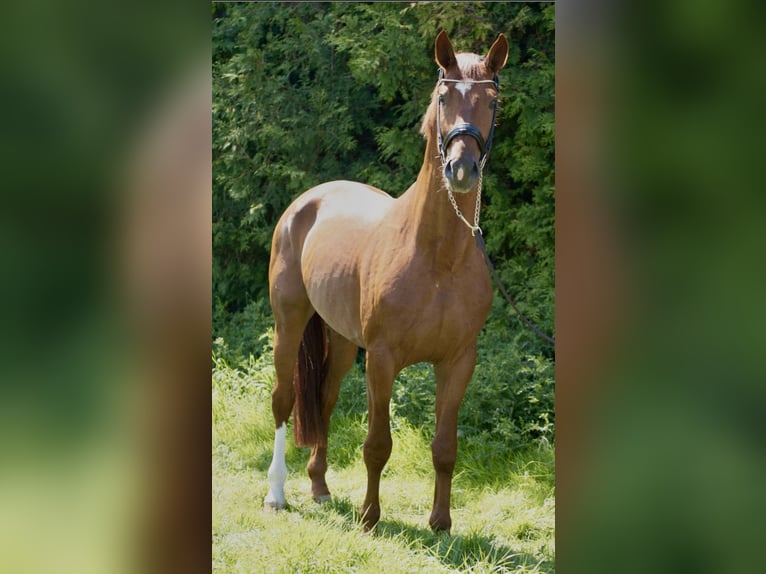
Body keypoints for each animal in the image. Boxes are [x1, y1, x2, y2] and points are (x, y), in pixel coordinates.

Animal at [264, 32, 510, 536]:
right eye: (443, 97)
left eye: (492, 102)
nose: (462, 169)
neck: (438, 259)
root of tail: (307, 200)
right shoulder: (381, 359)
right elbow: (377, 444)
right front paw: (369, 518)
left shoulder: (458, 362)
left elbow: (444, 447)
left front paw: (441, 524)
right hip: (289, 324)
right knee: (284, 400)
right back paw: (277, 494)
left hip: (341, 341)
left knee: (325, 400)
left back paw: (319, 487)